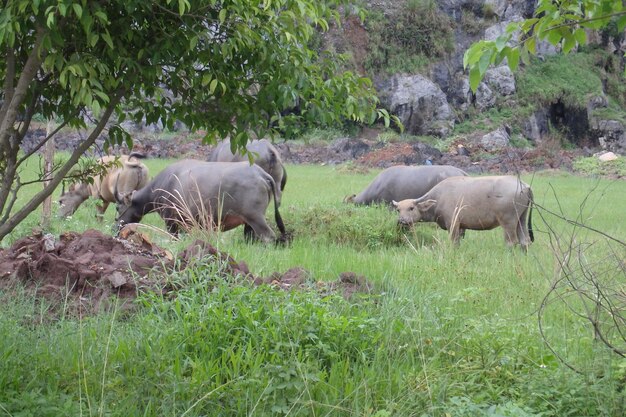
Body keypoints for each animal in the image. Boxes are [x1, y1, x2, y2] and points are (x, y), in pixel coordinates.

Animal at [114, 159, 286, 244]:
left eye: (117, 207)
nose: (116, 227)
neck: (162, 185)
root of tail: (262, 174)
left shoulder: (171, 221)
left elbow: (173, 237)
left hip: (255, 217)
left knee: (268, 236)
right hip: (248, 222)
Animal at [390, 174, 532, 249]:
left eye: (411, 208)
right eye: (398, 210)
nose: (402, 221)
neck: (439, 198)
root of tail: (524, 186)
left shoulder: (453, 224)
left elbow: (454, 243)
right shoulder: (461, 227)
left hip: (508, 222)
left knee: (511, 242)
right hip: (521, 219)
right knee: (525, 241)